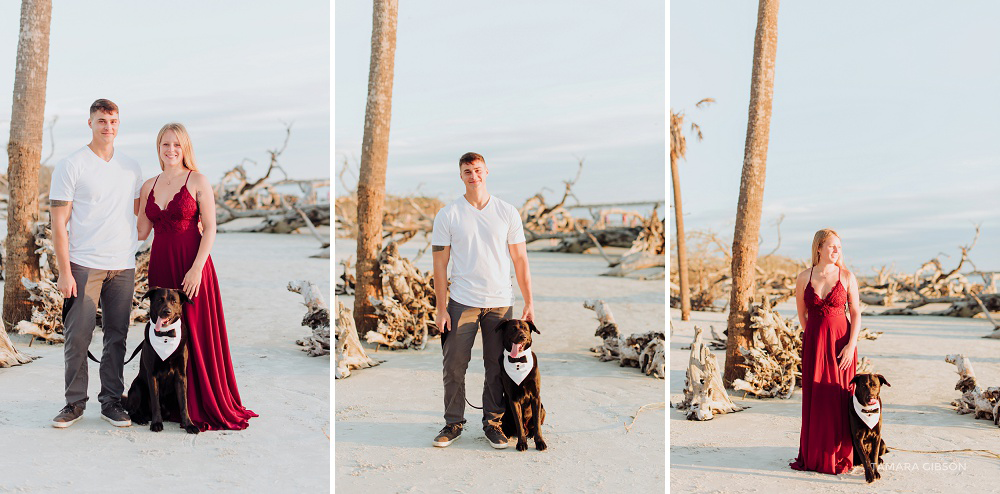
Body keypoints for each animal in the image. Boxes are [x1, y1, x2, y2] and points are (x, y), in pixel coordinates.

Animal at [123, 288, 197, 434]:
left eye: (174, 301)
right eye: (159, 300)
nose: (166, 311)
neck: (165, 335)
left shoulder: (181, 376)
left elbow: (184, 404)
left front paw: (189, 424)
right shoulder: (152, 375)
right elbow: (155, 402)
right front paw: (157, 423)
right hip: (137, 386)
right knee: (132, 411)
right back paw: (141, 418)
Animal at [494, 320, 548, 452]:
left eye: (525, 329)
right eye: (513, 329)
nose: (522, 336)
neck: (518, 360)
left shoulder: (536, 397)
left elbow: (537, 424)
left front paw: (540, 442)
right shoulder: (513, 399)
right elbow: (519, 424)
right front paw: (521, 443)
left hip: (542, 408)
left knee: (534, 425)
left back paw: (531, 433)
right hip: (504, 411)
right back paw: (507, 433)